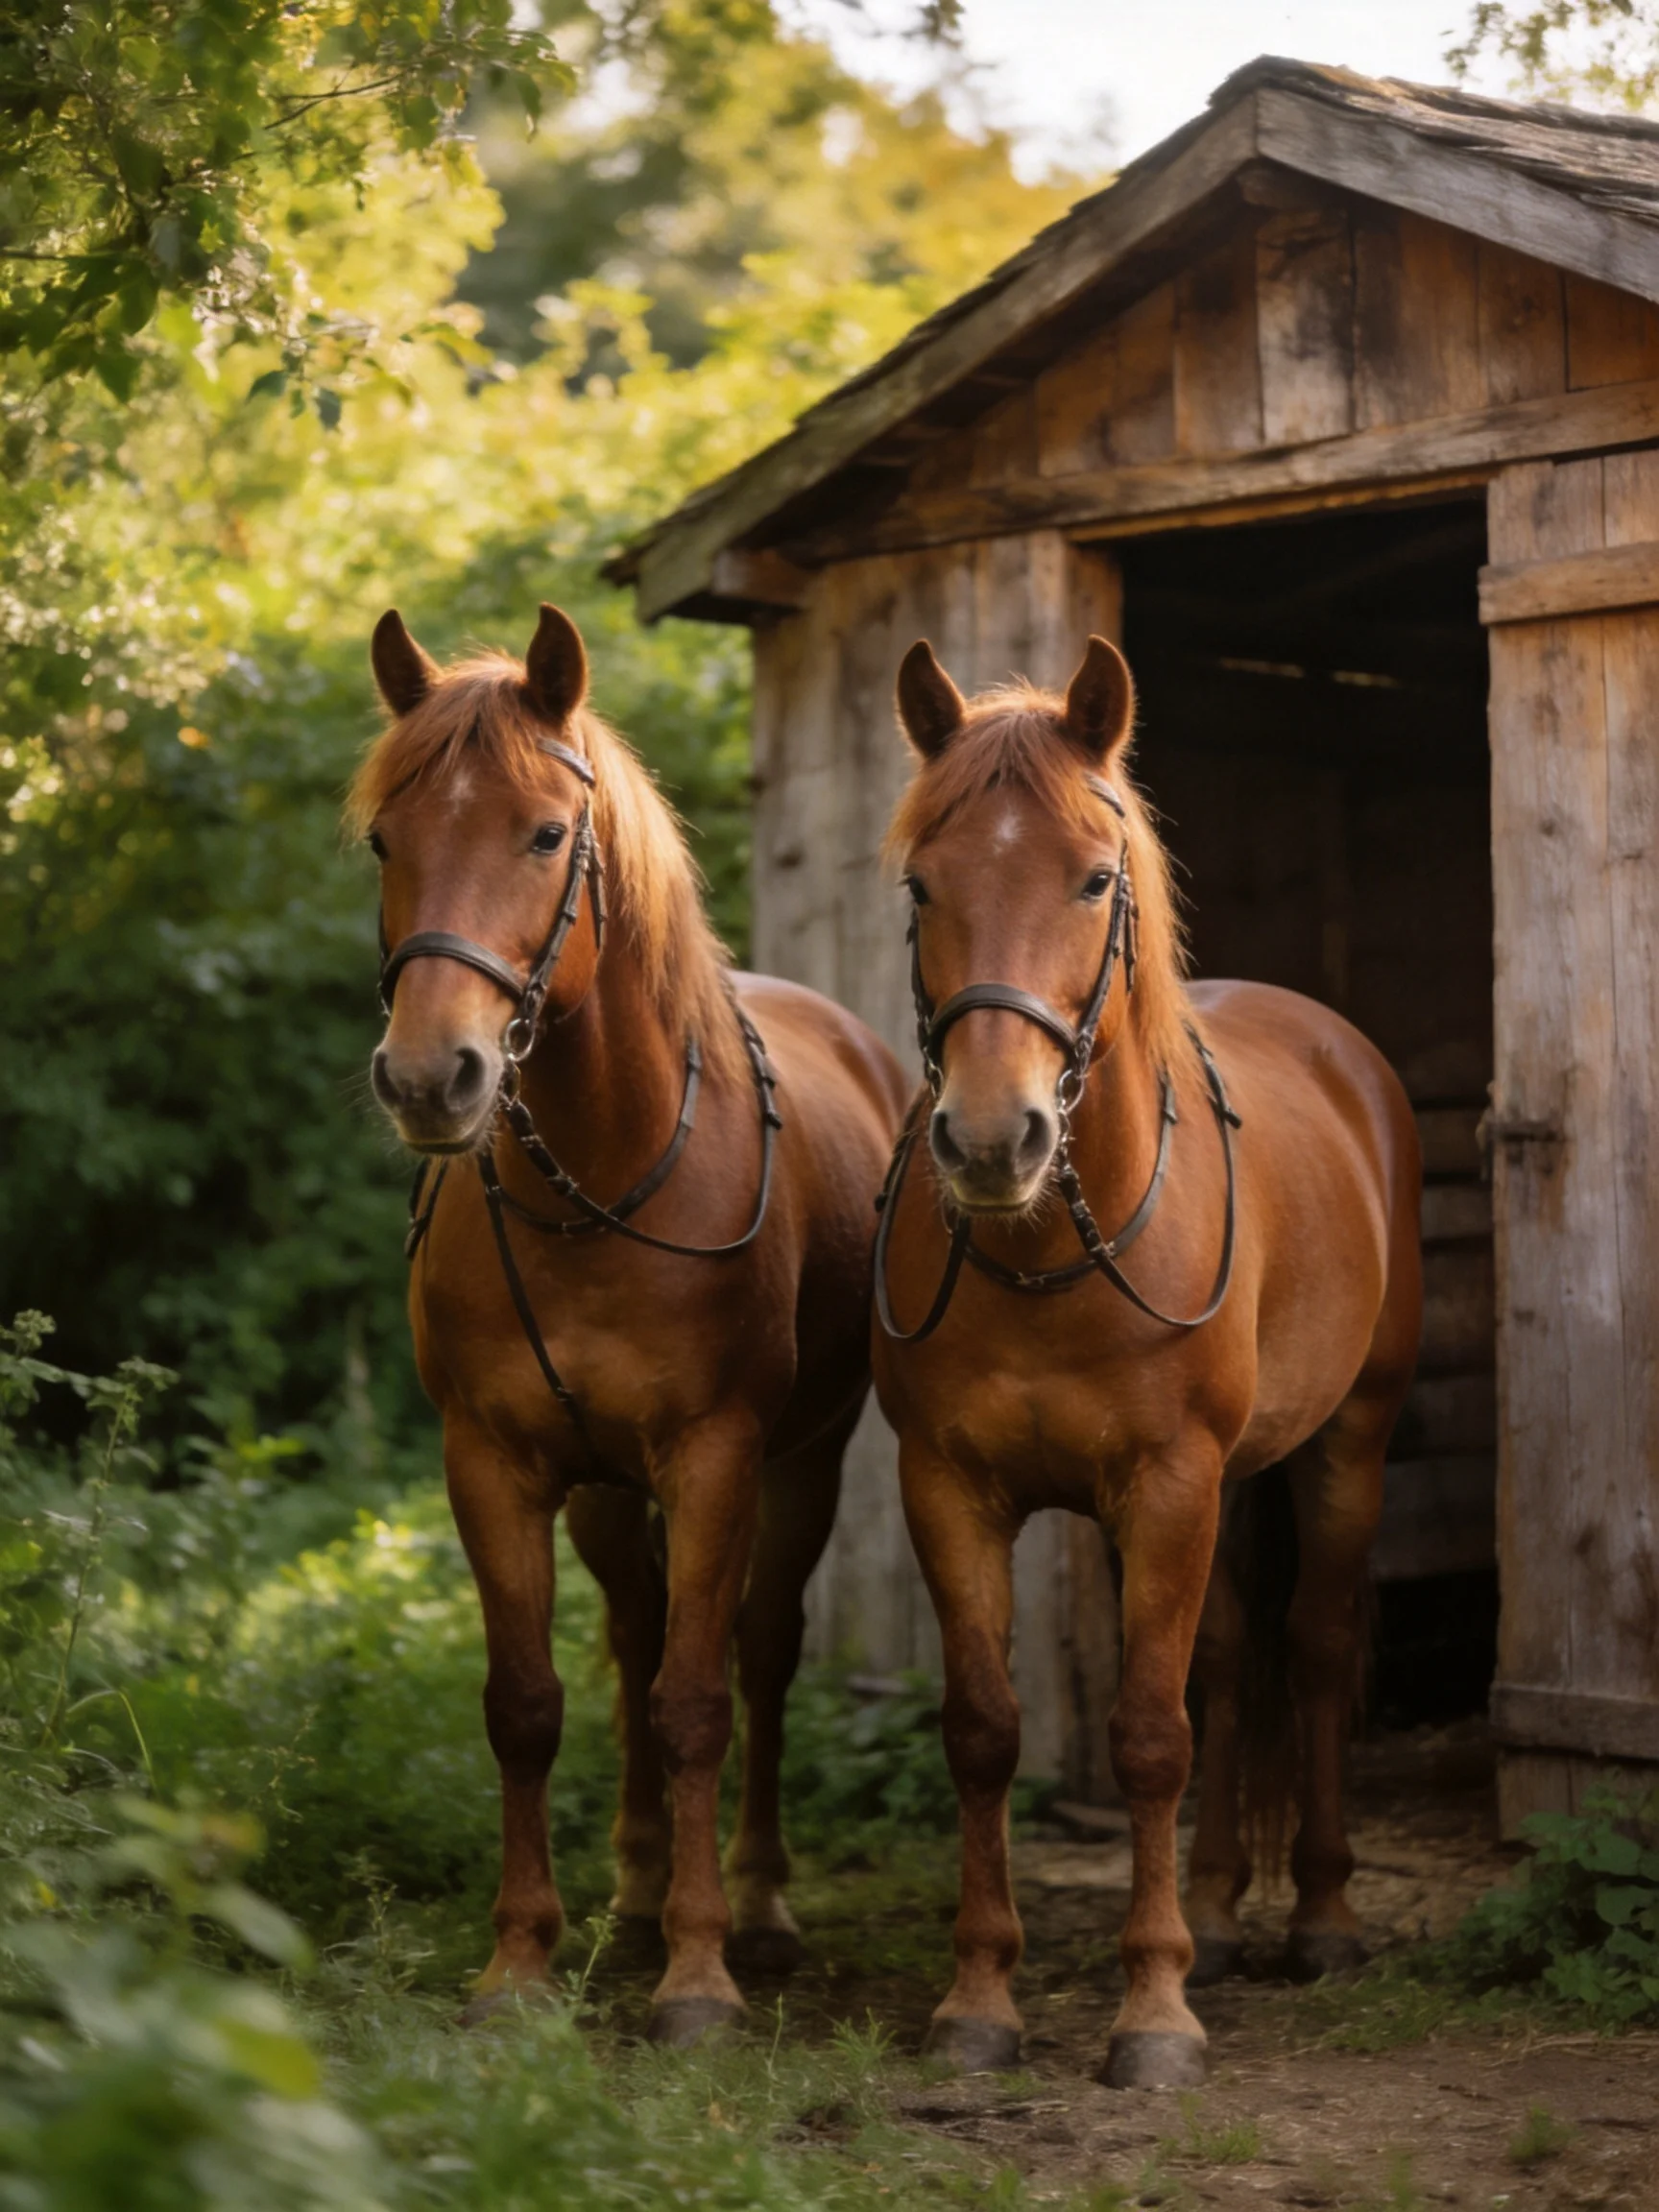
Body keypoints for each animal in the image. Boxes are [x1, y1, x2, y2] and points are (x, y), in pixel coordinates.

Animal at [351, 603, 907, 2043]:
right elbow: (529, 1704)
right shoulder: (493, 1464)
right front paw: (522, 1963)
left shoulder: (717, 1459)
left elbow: (701, 1701)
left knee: (756, 1652)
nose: (432, 1077)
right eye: (385, 840)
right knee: (637, 1633)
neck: (600, 1185)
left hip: (801, 1465)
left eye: (547, 835)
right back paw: (641, 1894)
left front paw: (703, 1977)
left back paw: (753, 1906)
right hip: (605, 1493)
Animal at [870, 634, 1421, 2089]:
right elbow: (987, 1731)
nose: (990, 1139)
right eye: (922, 883)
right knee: (1228, 1660)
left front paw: (1155, 2013)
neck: (1052, 1246)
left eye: (1094, 878)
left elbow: (1149, 1737)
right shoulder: (950, 1489)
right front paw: (980, 2000)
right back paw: (1224, 1914)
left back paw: (1323, 1918)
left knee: (1314, 1649)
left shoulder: (1169, 1486)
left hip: (1348, 1445)